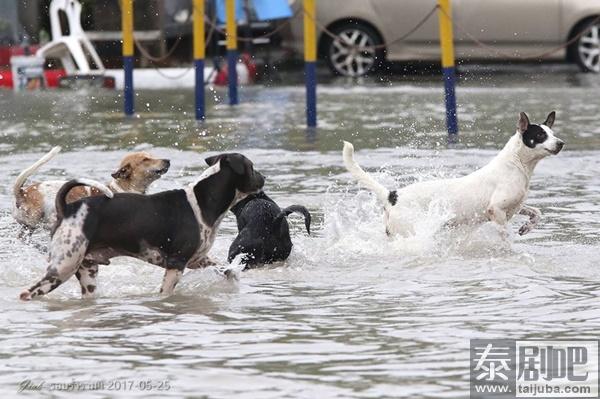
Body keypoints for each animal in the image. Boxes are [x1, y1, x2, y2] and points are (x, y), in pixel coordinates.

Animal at [19, 153, 264, 300]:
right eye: (252, 168)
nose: (263, 178)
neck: (203, 201)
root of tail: (67, 208)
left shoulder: (197, 260)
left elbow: (227, 269)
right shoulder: (176, 264)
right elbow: (166, 293)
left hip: (87, 271)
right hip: (62, 268)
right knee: (27, 293)